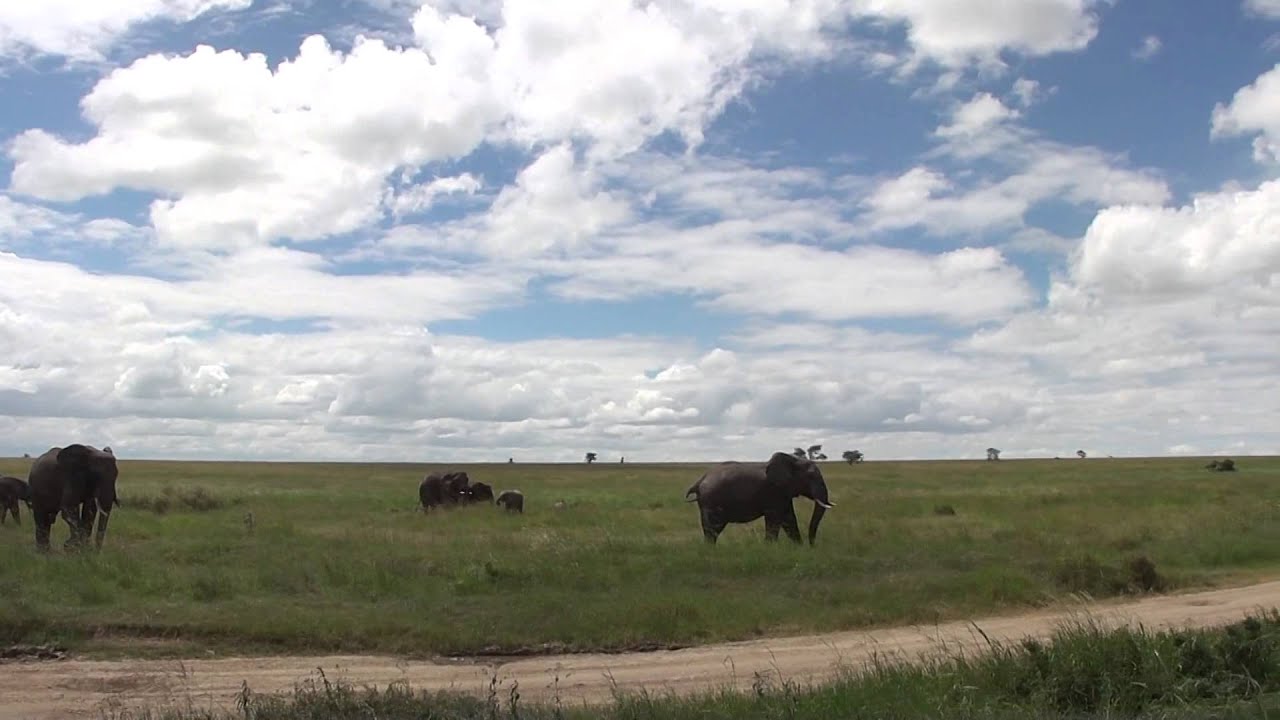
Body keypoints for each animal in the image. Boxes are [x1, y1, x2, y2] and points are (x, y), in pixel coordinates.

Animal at [684, 451, 834, 546]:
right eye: (811, 477)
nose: (812, 545)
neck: (793, 460)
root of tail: (699, 481)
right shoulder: (773, 492)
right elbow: (775, 519)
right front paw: (769, 549)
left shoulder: (784, 493)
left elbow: (789, 519)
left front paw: (799, 548)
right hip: (711, 502)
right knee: (713, 528)